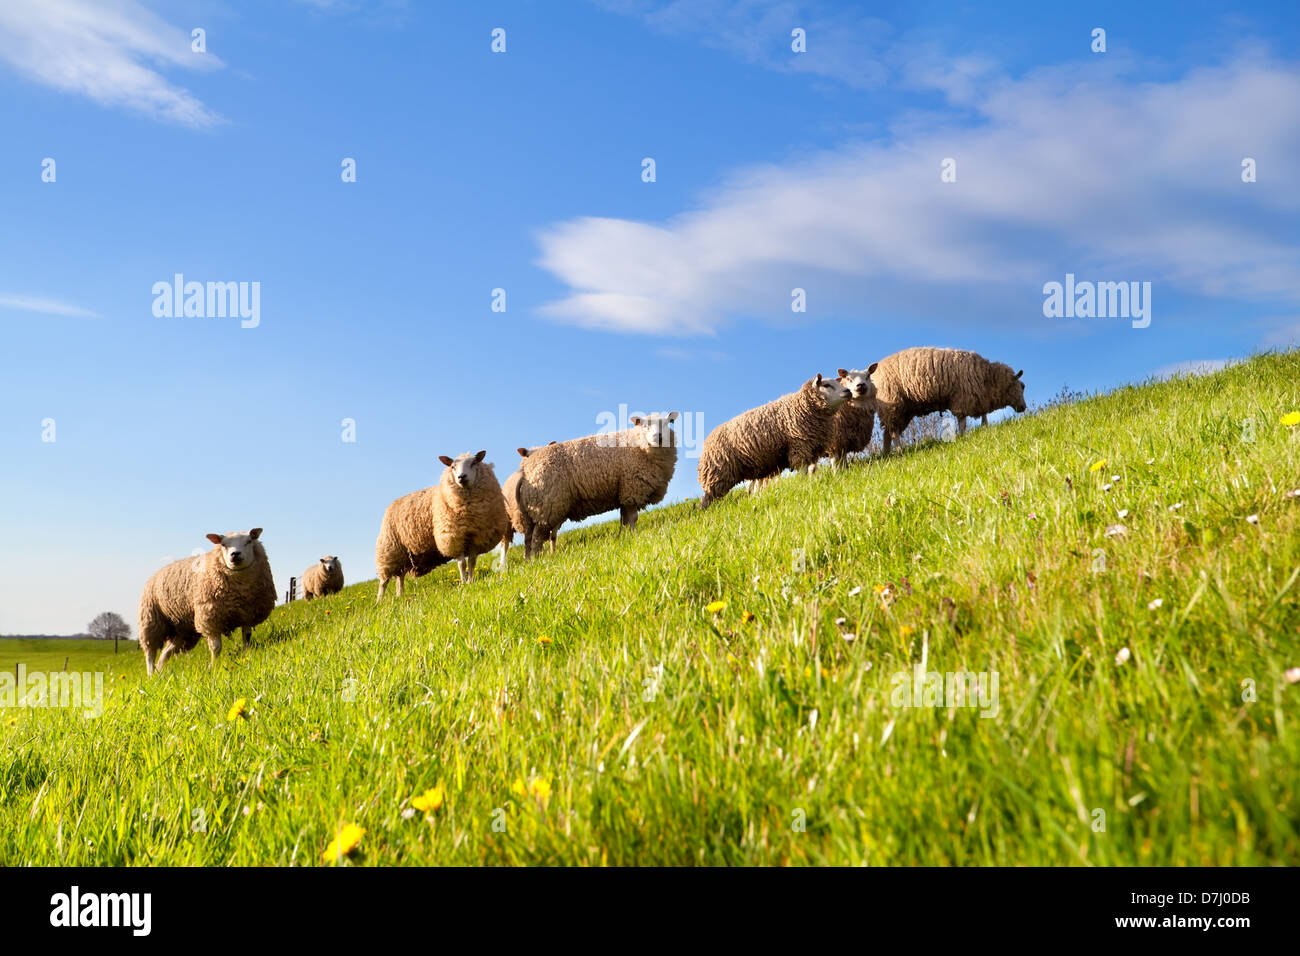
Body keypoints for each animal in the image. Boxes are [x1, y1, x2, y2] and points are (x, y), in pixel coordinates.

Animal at [137, 528, 276, 676]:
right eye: (223, 544)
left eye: (249, 541)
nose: (235, 554)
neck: (241, 589)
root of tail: (153, 575)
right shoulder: (210, 619)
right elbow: (216, 647)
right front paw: (213, 667)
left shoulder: (248, 614)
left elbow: (247, 638)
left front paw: (247, 655)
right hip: (151, 621)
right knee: (150, 653)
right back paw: (151, 674)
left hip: (182, 630)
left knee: (165, 653)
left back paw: (160, 673)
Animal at [374, 447, 509, 598]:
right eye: (452, 466)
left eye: (474, 463)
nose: (461, 477)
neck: (468, 513)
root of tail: (392, 504)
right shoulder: (454, 538)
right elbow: (462, 564)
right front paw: (464, 583)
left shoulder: (476, 537)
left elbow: (472, 562)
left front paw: (470, 581)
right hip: (388, 550)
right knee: (384, 581)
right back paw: (380, 600)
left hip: (402, 555)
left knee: (400, 577)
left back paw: (399, 595)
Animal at [514, 413, 686, 561]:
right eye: (644, 425)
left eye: (667, 423)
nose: (658, 437)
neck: (637, 443)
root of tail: (526, 470)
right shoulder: (631, 489)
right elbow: (633, 519)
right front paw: (634, 536)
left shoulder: (623, 493)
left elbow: (623, 520)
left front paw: (623, 537)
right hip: (546, 506)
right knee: (537, 538)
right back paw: (537, 560)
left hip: (539, 510)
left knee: (530, 538)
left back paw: (530, 560)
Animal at [702, 374, 852, 509]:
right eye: (826, 385)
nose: (848, 391)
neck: (802, 407)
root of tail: (708, 439)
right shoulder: (799, 447)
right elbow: (803, 471)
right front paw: (803, 486)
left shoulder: (811, 448)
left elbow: (812, 469)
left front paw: (811, 483)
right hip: (718, 472)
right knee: (707, 497)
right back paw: (705, 511)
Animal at [873, 348, 1024, 455]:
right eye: (1021, 386)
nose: (1023, 407)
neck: (987, 378)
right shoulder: (963, 398)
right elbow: (962, 422)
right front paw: (962, 437)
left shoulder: (978, 398)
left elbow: (983, 416)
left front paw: (984, 428)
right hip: (893, 404)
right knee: (893, 433)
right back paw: (899, 451)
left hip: (903, 410)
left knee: (887, 433)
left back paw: (887, 454)